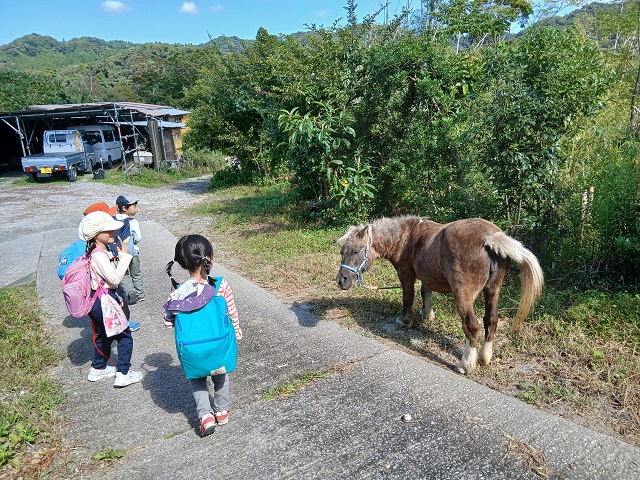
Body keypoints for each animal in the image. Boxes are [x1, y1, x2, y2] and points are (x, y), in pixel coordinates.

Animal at [336, 216, 544, 374]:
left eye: (356, 251)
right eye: (341, 252)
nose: (341, 280)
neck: (406, 237)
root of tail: (489, 238)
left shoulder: (406, 274)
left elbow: (408, 297)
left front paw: (405, 320)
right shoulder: (426, 275)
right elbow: (425, 292)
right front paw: (427, 314)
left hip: (464, 295)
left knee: (472, 326)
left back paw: (465, 365)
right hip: (493, 290)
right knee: (491, 321)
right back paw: (484, 357)